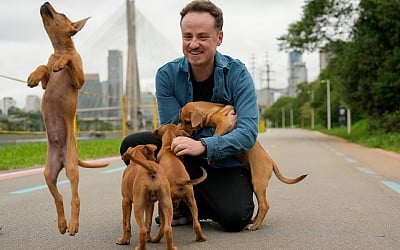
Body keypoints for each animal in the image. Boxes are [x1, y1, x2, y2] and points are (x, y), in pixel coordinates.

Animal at [26, 2, 108, 236]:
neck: (59, 50)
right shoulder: (47, 82)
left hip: (72, 168)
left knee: (75, 198)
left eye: (61, 13)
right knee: (59, 198)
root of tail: (63, 158)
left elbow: (70, 61)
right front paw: (34, 76)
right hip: (48, 173)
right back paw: (62, 224)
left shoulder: (80, 80)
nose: (45, 3)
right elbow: (44, 68)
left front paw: (62, 63)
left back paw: (73, 224)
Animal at [177, 101, 306, 230]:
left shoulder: (224, 123)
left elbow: (215, 135)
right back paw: (254, 221)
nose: (181, 131)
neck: (210, 110)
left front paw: (210, 157)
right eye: (181, 120)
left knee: (264, 205)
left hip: (258, 182)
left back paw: (255, 226)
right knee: (261, 204)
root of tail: (270, 160)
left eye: (187, 121)